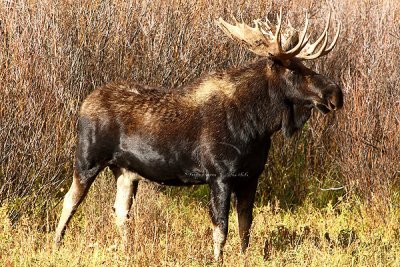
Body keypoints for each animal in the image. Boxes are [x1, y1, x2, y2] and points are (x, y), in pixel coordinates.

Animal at [54, 8, 344, 262]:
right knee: (70, 201)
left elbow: (245, 227)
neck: (258, 125)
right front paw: (217, 259)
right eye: (293, 68)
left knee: (120, 211)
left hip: (126, 171)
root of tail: (84, 103)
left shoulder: (251, 177)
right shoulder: (220, 176)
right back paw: (56, 244)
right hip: (87, 160)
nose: (335, 93)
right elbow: (221, 229)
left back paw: (127, 251)